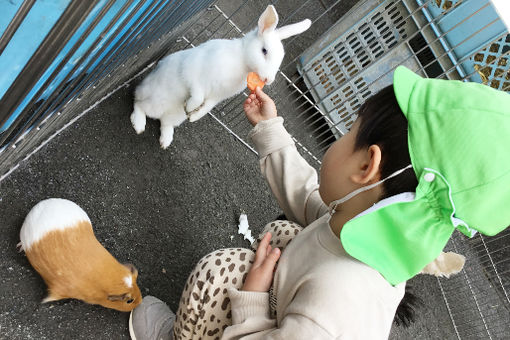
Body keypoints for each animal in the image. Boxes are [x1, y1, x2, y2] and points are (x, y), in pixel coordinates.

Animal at [131, 4, 310, 149]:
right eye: (264, 51)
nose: (268, 79)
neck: (242, 60)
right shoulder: (194, 76)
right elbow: (197, 95)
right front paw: (190, 107)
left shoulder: (217, 96)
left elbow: (207, 106)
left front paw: (194, 117)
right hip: (154, 100)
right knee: (138, 104)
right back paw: (139, 125)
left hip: (174, 117)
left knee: (165, 124)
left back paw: (166, 141)